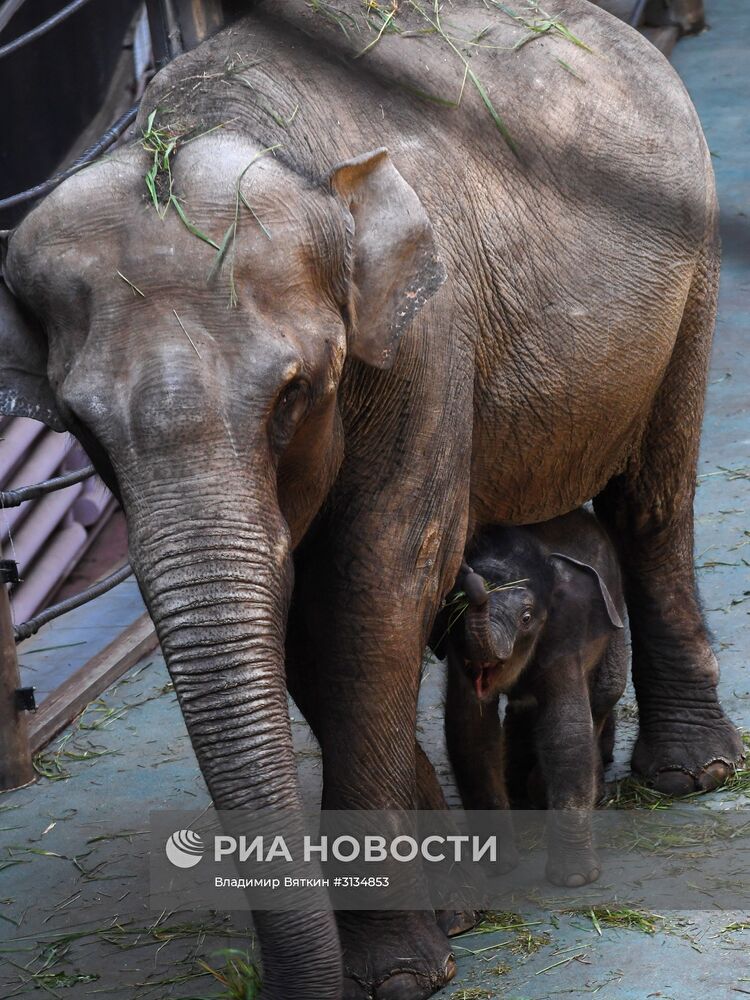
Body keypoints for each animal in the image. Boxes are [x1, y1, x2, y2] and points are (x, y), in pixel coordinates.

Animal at [432, 508, 632, 884]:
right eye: (452, 613)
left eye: (526, 618)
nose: (468, 575)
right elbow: (470, 730)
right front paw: (495, 866)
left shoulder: (563, 633)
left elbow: (565, 728)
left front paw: (575, 879)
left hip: (615, 614)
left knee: (606, 690)